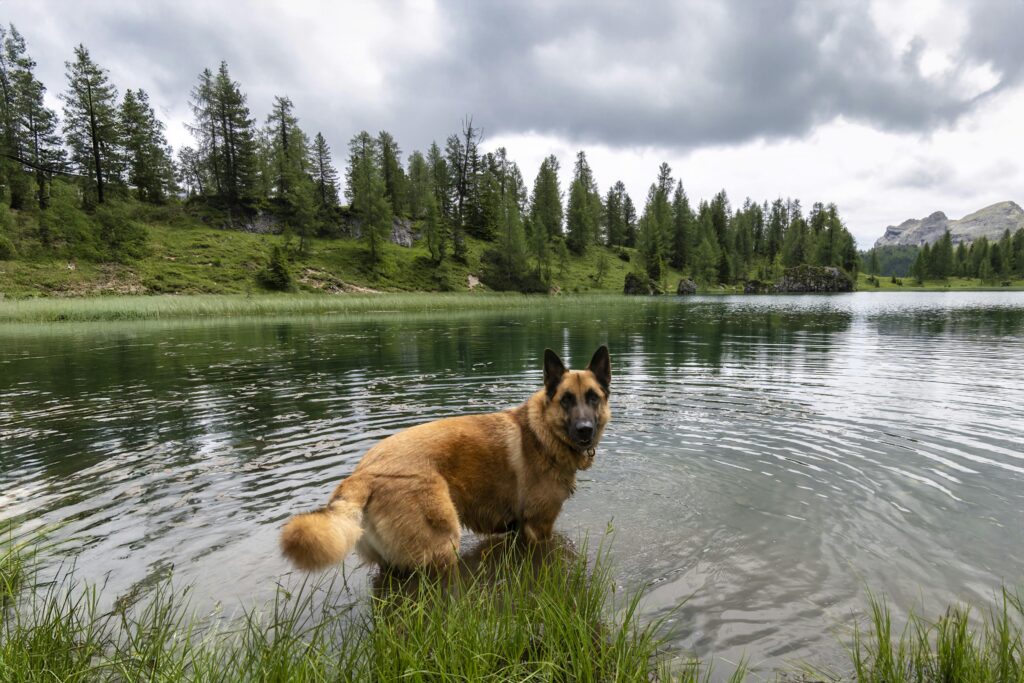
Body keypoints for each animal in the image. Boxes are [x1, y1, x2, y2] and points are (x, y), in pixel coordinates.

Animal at [280, 348, 610, 573]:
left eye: (593, 397)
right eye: (566, 399)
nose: (585, 430)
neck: (544, 433)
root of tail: (362, 474)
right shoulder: (539, 528)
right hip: (440, 548)